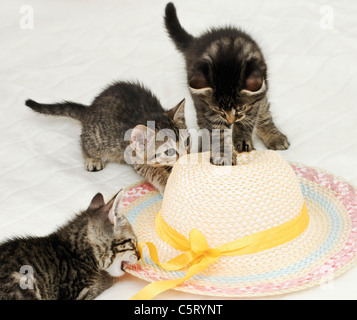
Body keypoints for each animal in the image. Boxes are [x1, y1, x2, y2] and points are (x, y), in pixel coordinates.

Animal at [0, 190, 139, 300]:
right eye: (133, 242)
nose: (139, 256)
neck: (77, 252)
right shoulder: (76, 293)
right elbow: (104, 281)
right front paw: (106, 277)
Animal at [25, 81, 189, 194]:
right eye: (169, 151)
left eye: (187, 141)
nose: (185, 157)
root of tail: (90, 109)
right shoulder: (135, 157)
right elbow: (153, 171)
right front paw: (166, 182)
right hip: (98, 138)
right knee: (84, 141)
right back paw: (92, 159)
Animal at [164, 3, 290, 165]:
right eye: (219, 109)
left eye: (241, 108)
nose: (230, 121)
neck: (228, 63)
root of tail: (197, 41)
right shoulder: (208, 110)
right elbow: (217, 131)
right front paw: (223, 153)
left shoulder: (254, 104)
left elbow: (248, 120)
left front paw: (242, 138)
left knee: (265, 112)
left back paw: (275, 136)